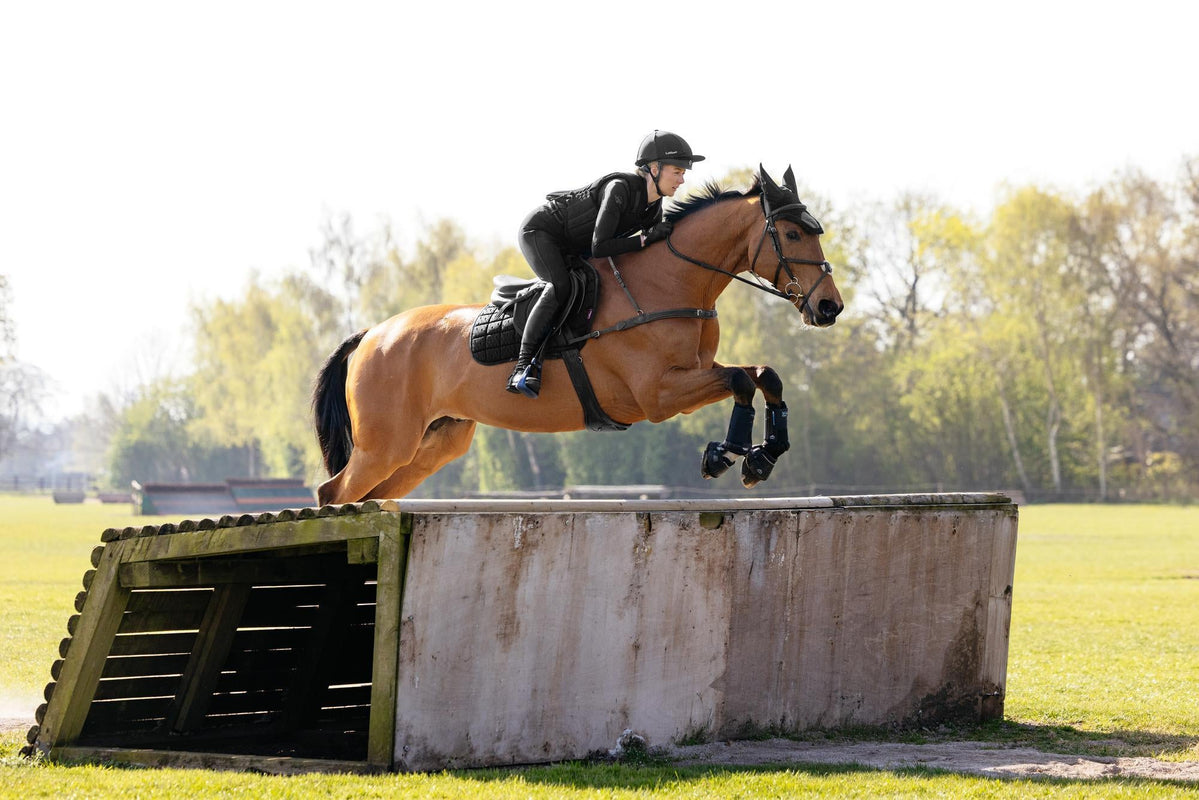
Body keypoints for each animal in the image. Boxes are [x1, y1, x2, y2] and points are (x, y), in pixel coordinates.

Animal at [313, 165, 843, 504]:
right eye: (792, 234)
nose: (829, 307)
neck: (669, 282)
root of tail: (371, 335)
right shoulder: (659, 394)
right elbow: (739, 380)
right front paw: (726, 454)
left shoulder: (692, 373)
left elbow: (762, 374)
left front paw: (763, 456)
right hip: (387, 444)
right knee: (333, 492)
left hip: (433, 444)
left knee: (367, 495)